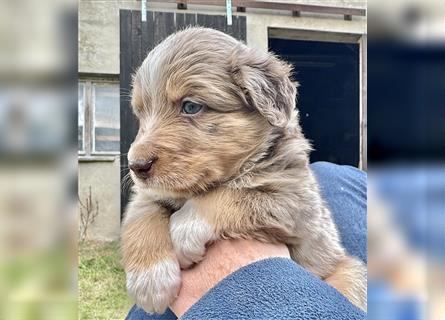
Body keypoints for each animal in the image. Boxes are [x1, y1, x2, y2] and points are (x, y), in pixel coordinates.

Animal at [119, 26, 366, 312]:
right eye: (141, 113)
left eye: (191, 106)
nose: (136, 166)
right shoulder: (149, 194)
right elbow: (141, 216)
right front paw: (150, 280)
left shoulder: (295, 203)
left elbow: (230, 196)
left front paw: (184, 232)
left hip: (349, 271)